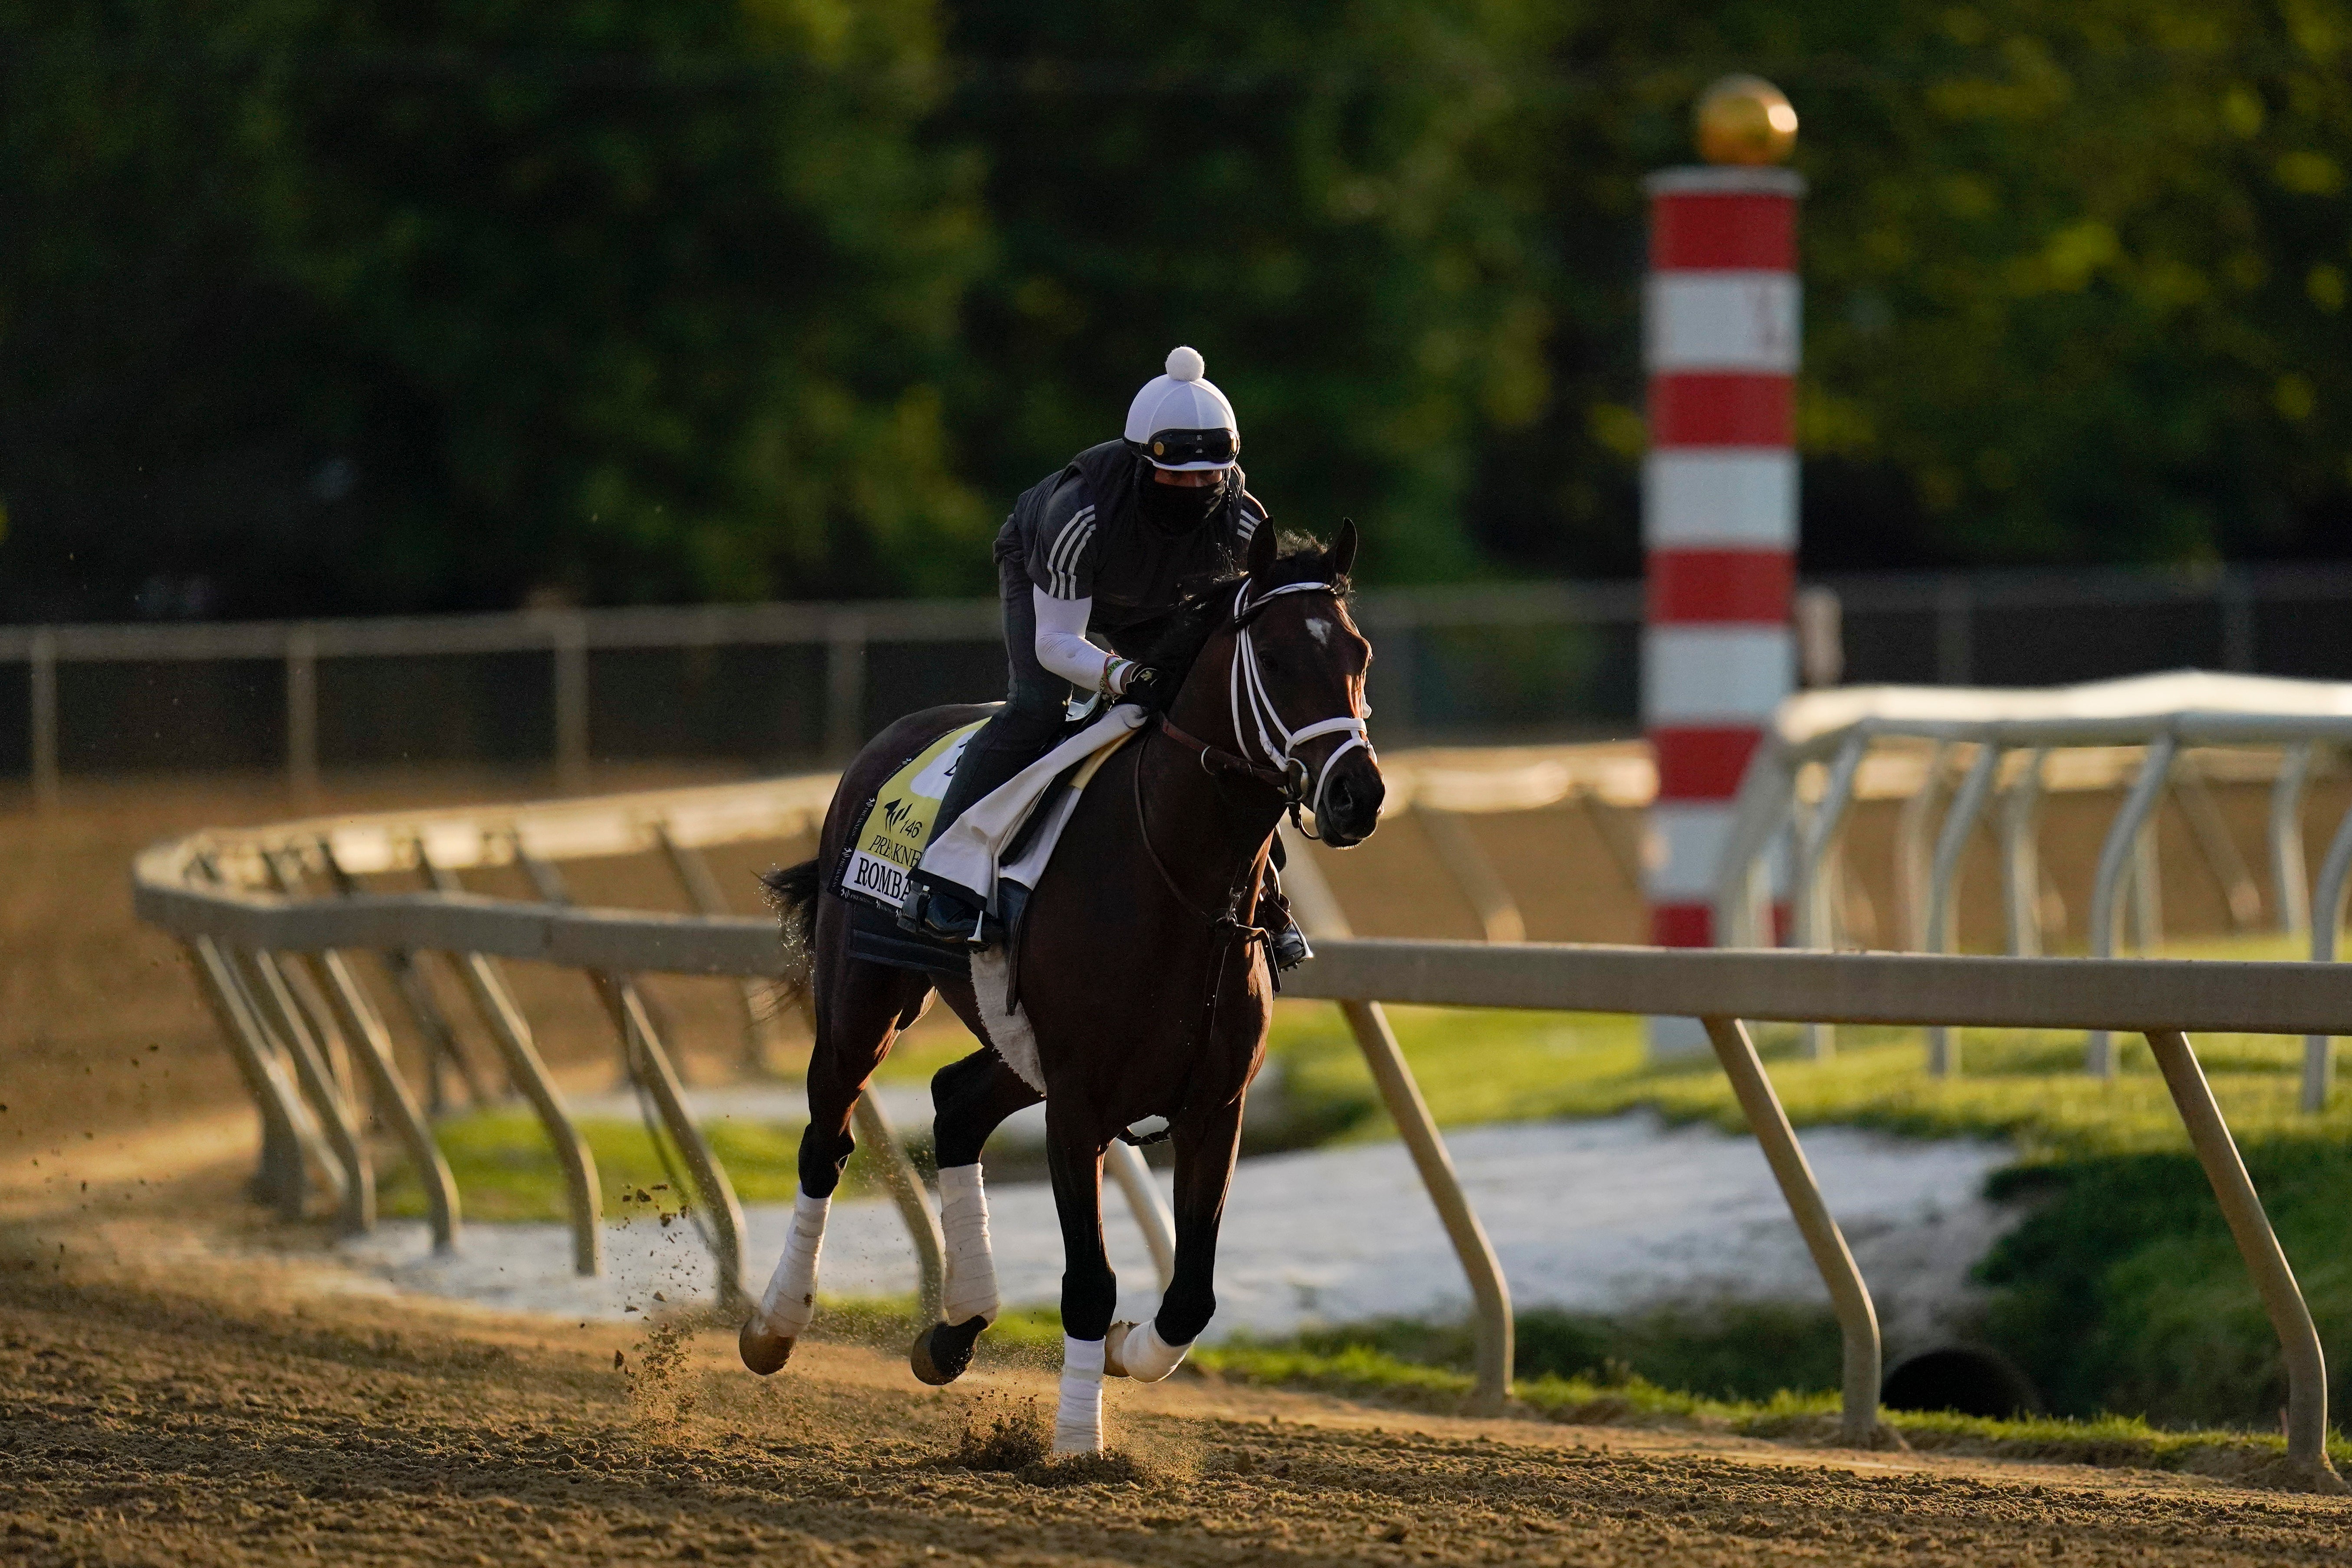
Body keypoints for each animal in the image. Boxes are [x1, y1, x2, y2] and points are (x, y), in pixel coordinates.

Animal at [743, 522, 1383, 1457]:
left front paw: (1126, 1353)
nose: (1357, 793)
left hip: (1017, 1046)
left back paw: (956, 1324)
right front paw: (1080, 1444)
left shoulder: (1212, 1103)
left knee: (955, 1102)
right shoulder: (1079, 1102)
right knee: (827, 1136)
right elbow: (1089, 1280)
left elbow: (1192, 1294)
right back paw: (777, 1322)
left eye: (1358, 654)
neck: (1180, 880)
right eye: (1271, 656)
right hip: (865, 1001)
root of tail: (890, 739)